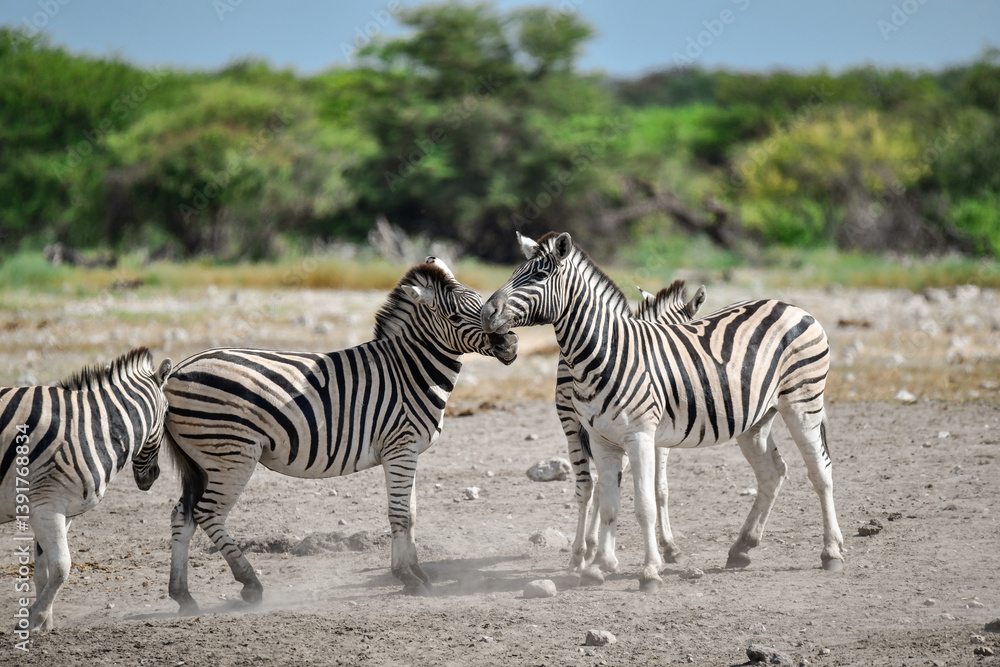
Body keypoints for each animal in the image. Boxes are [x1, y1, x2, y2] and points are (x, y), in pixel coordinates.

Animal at [0, 348, 171, 631]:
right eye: (167, 413)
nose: (154, 475)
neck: (90, 429)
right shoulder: (45, 507)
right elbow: (62, 566)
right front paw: (34, 617)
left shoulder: (61, 510)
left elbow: (44, 569)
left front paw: (44, 623)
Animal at [161, 258, 518, 612]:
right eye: (455, 317)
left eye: (483, 303)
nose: (511, 344)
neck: (410, 370)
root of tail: (174, 373)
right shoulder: (400, 448)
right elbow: (400, 514)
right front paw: (407, 577)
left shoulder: (409, 451)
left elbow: (412, 514)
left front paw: (417, 572)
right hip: (232, 455)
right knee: (208, 513)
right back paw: (250, 584)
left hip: (203, 461)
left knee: (183, 515)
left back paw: (183, 596)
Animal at [482, 232, 844, 592]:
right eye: (515, 271)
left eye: (540, 276)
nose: (486, 312)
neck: (604, 352)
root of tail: (791, 306)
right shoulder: (602, 440)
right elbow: (609, 503)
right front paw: (597, 566)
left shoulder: (641, 435)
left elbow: (646, 504)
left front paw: (649, 571)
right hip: (755, 420)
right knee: (772, 472)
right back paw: (741, 548)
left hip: (802, 402)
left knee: (820, 471)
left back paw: (831, 552)